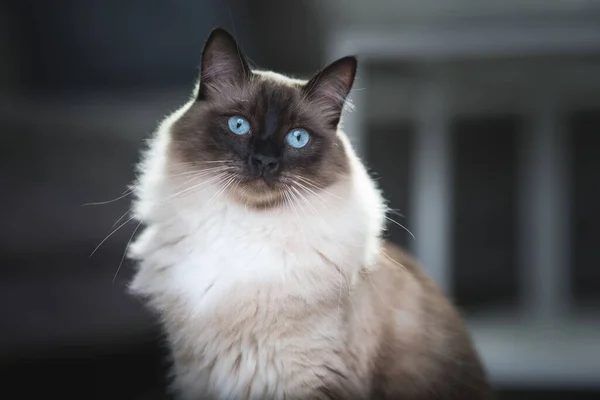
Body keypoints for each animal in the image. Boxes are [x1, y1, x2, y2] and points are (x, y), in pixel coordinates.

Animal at [127, 28, 492, 400]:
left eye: (297, 138)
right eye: (239, 125)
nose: (264, 161)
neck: (247, 232)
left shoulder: (312, 381)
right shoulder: (198, 377)